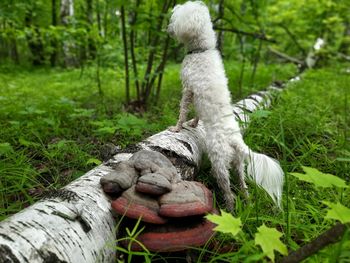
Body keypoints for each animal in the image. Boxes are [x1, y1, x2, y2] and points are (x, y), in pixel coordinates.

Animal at [167, 0, 284, 210]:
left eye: (175, 18)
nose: (168, 29)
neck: (202, 50)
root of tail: (237, 142)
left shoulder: (188, 89)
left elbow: (183, 111)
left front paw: (177, 128)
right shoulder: (196, 95)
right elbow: (197, 113)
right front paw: (194, 124)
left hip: (219, 165)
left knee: (229, 193)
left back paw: (228, 210)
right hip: (238, 166)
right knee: (243, 187)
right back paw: (248, 204)